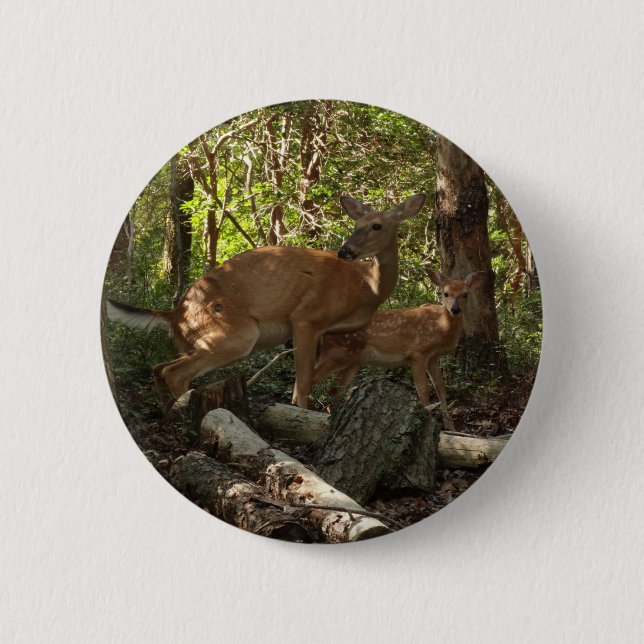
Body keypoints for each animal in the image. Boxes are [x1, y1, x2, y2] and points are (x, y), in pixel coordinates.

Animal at [106, 193, 426, 409]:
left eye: (377, 226)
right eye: (356, 223)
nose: (345, 250)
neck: (366, 287)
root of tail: (175, 314)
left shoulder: (324, 332)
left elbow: (306, 381)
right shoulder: (306, 317)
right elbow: (304, 381)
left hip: (195, 341)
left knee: (160, 367)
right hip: (238, 333)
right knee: (173, 372)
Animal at [309, 268, 485, 429]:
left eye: (465, 294)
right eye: (445, 293)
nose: (455, 310)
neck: (440, 326)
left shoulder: (433, 357)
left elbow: (440, 388)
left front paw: (451, 429)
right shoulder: (418, 352)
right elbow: (423, 389)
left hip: (352, 360)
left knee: (335, 390)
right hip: (338, 353)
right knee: (311, 378)